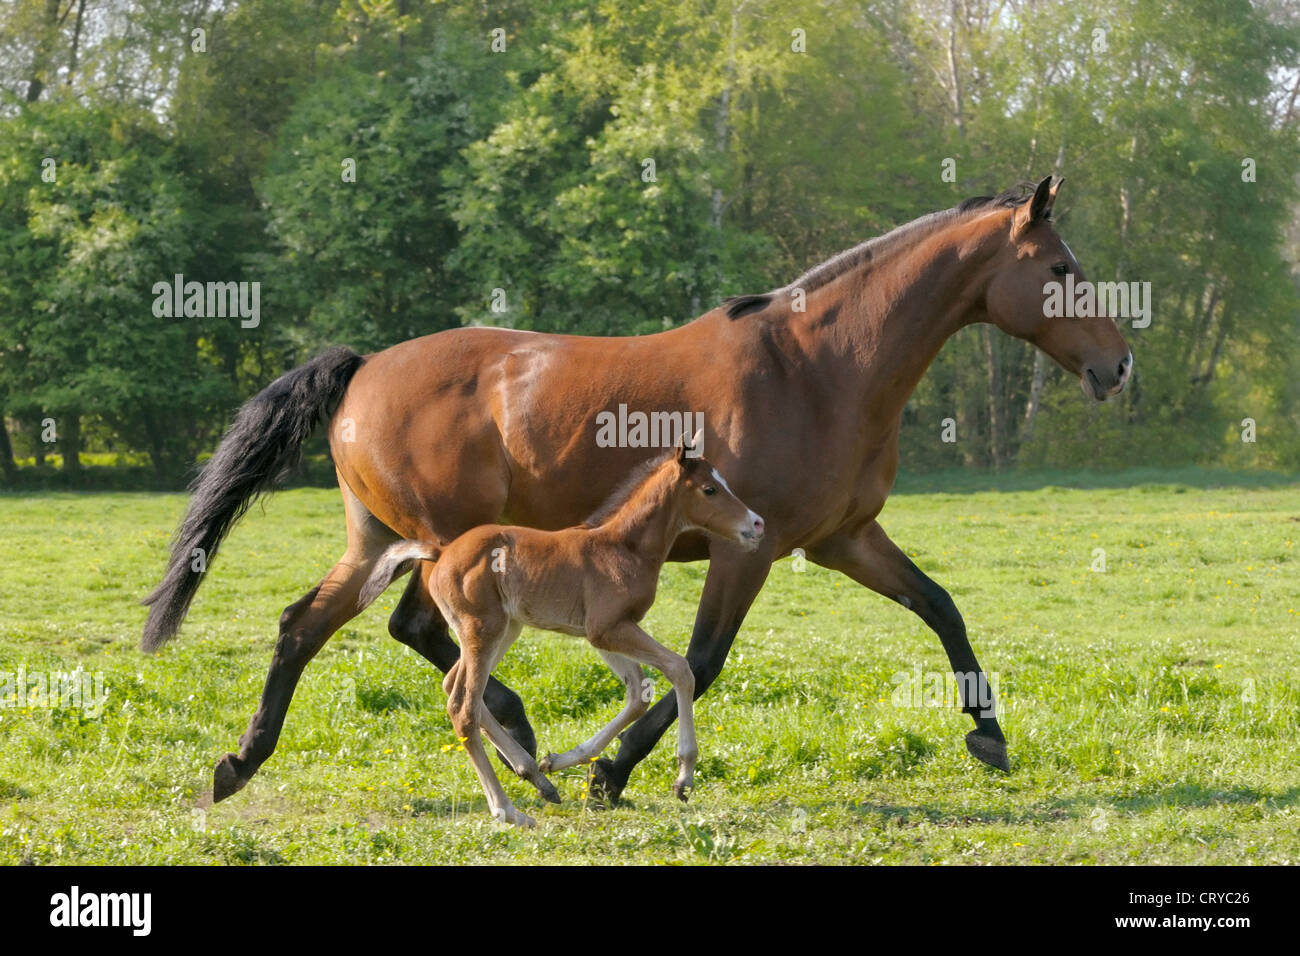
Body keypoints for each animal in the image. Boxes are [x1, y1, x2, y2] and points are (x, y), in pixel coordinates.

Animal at [358, 434, 759, 832]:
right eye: (709, 489)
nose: (756, 524)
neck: (623, 547)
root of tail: (440, 554)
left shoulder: (605, 633)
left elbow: (637, 693)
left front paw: (561, 761)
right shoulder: (608, 629)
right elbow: (680, 669)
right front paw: (684, 777)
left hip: (505, 629)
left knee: (453, 687)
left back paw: (537, 777)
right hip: (483, 630)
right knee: (463, 708)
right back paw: (508, 810)